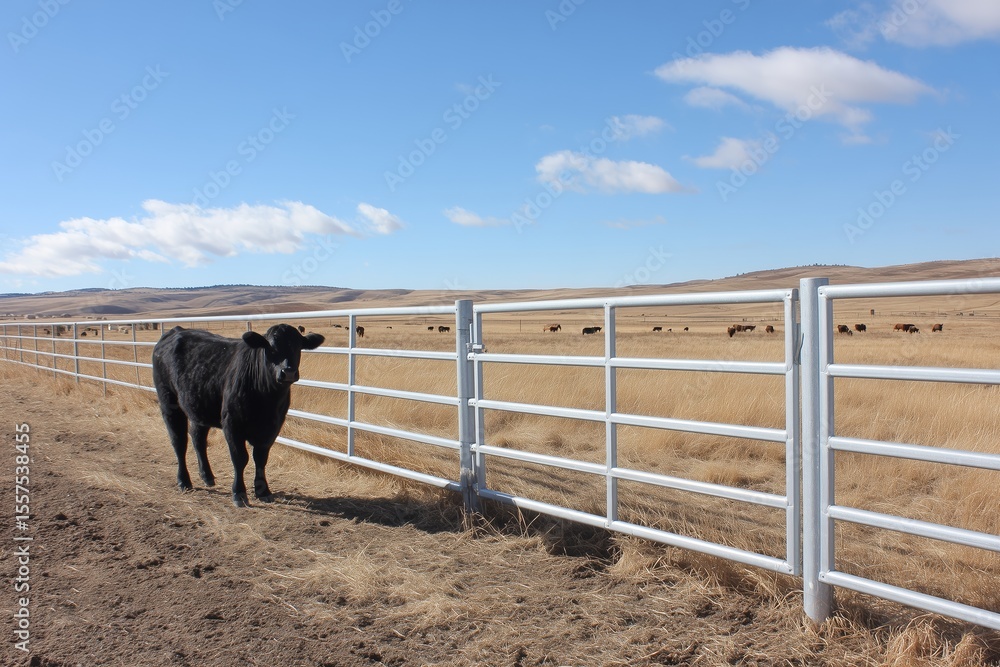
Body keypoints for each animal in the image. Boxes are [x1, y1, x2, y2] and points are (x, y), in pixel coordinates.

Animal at [151, 324, 325, 507]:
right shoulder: (232, 424)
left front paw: (263, 491)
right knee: (179, 442)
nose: (288, 372)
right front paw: (239, 493)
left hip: (199, 408)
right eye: (270, 347)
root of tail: (176, 330)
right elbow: (240, 458)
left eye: (298, 346)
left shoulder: (272, 428)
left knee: (198, 439)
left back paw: (207, 476)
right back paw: (184, 481)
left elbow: (261, 458)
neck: (267, 400)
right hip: (169, 403)